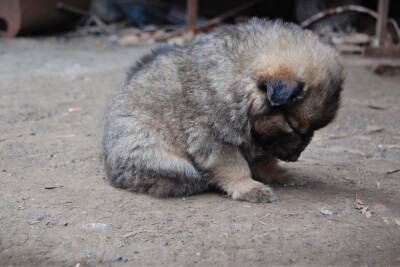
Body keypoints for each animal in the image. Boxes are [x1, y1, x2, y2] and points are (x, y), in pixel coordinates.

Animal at [103, 18, 344, 203]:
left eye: (312, 131)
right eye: (293, 127)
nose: (294, 158)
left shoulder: (259, 139)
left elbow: (264, 160)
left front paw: (279, 174)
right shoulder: (214, 138)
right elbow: (235, 166)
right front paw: (249, 188)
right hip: (160, 157)